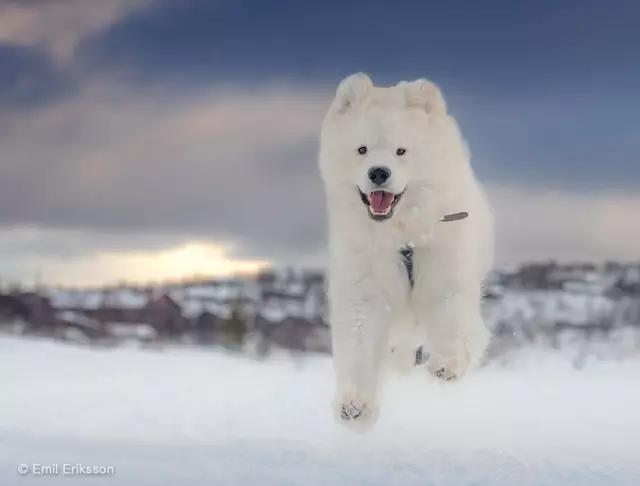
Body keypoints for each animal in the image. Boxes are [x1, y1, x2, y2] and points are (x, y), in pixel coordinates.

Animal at [320, 74, 496, 430]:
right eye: (362, 149)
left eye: (401, 151)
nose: (378, 172)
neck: (403, 240)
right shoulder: (363, 282)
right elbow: (359, 343)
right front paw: (355, 406)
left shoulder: (447, 270)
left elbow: (454, 318)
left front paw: (446, 365)